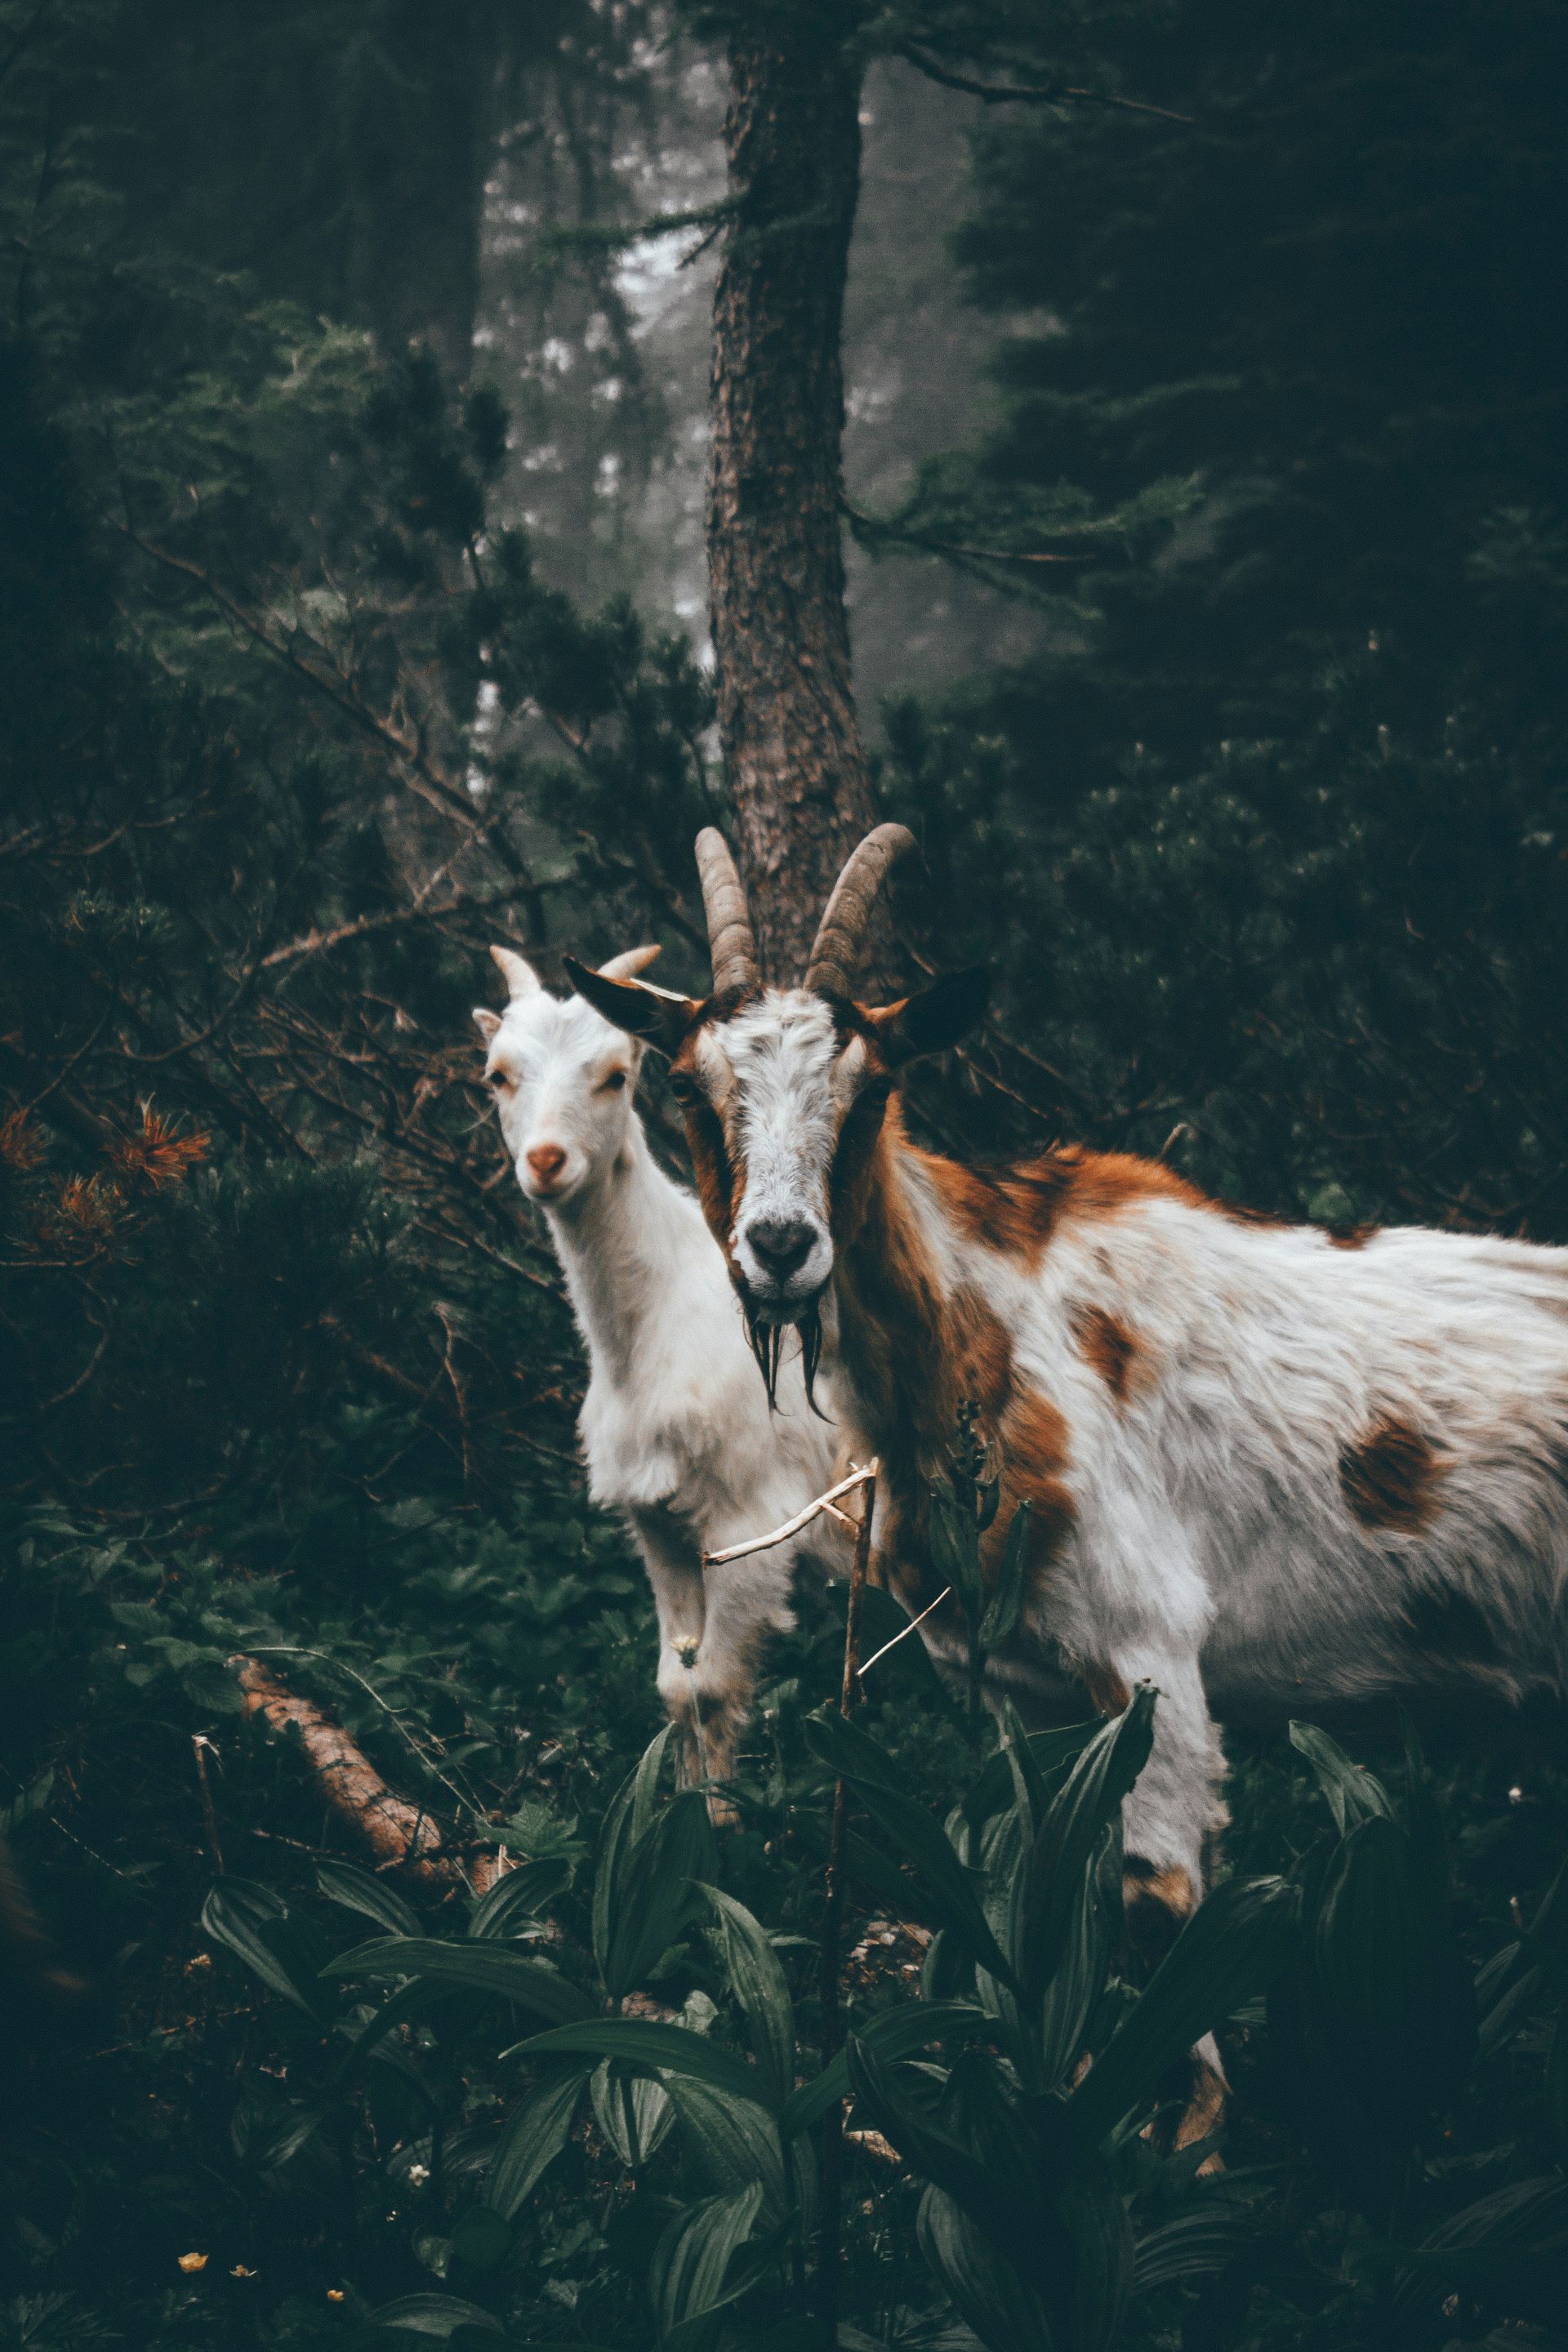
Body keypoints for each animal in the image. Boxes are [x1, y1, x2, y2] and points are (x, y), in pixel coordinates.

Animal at [472, 926, 841, 1806]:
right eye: (498, 1075)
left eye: (616, 1073)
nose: (546, 1161)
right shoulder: (658, 1521)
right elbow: (678, 1689)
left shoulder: (754, 1527)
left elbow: (715, 1687)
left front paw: (721, 1829)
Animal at [571, 827, 1568, 1984]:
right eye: (688, 1088)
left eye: (871, 1093)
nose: (780, 1247)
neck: (985, 1323)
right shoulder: (1030, 1695)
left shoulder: (1148, 1660)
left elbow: (1152, 1920)